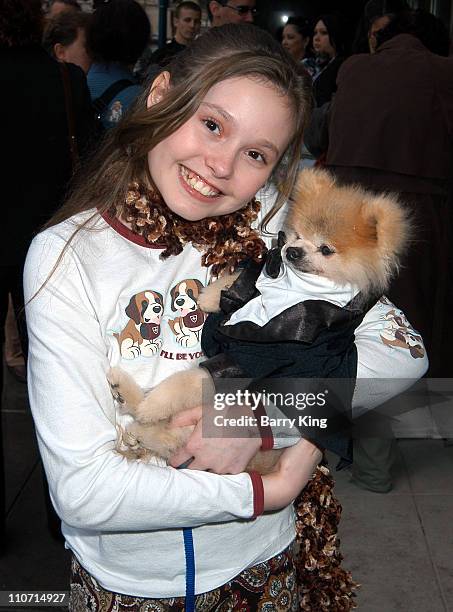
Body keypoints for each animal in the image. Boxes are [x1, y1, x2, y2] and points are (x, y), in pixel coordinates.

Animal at [108, 166, 410, 468]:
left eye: (326, 249)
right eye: (297, 235)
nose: (292, 251)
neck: (294, 288)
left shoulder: (249, 360)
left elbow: (186, 384)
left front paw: (153, 405)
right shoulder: (256, 282)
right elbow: (241, 277)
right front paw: (210, 297)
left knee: (170, 439)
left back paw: (141, 417)